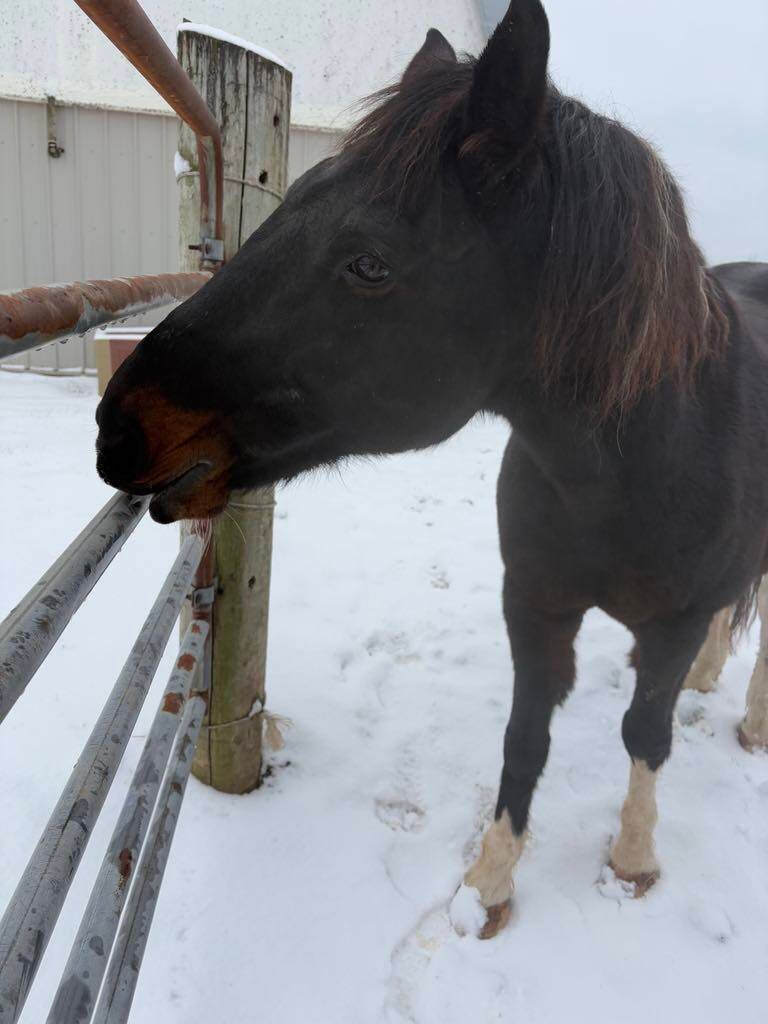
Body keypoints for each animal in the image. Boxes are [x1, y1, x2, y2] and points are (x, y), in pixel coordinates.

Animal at [94, 0, 768, 940]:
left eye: (370, 262)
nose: (119, 427)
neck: (634, 467)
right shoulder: (535, 605)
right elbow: (526, 740)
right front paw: (490, 883)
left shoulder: (669, 622)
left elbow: (646, 735)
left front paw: (633, 861)